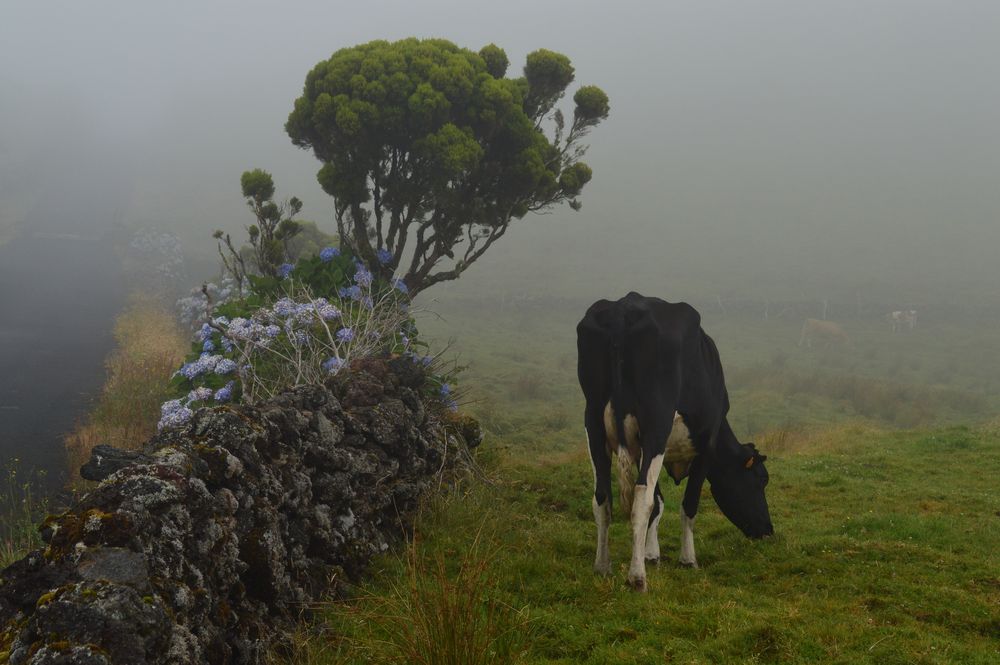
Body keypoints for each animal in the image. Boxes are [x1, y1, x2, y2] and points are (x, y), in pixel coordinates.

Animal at [580, 294, 772, 588]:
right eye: (761, 480)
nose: (768, 530)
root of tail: (623, 308)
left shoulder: (644, 449)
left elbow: (659, 502)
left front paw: (651, 554)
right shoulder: (705, 446)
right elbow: (687, 504)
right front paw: (687, 559)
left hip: (593, 422)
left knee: (602, 496)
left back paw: (602, 566)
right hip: (656, 422)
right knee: (641, 497)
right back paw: (637, 578)